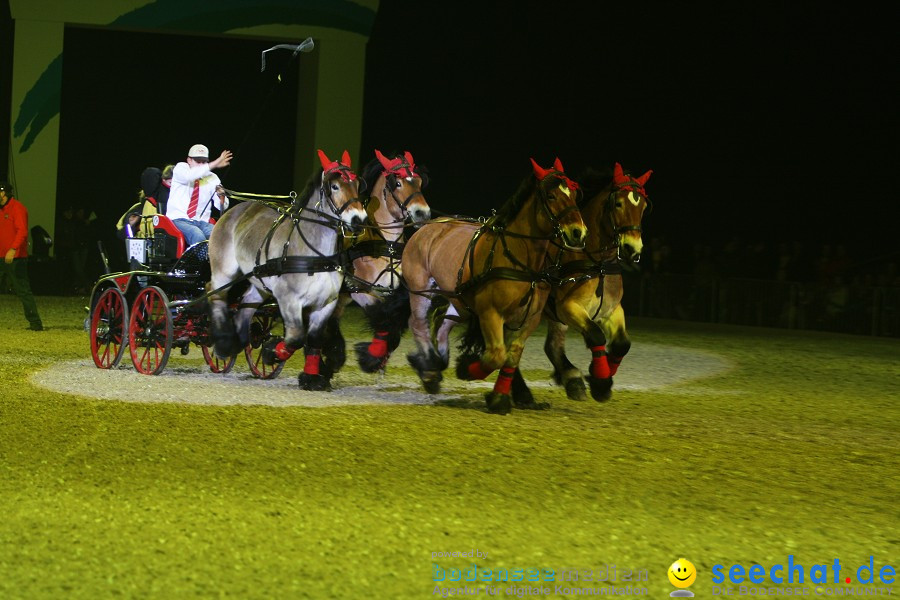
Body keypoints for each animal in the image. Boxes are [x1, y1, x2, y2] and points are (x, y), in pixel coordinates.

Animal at [207, 151, 366, 390]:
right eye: (335, 186)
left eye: (356, 184)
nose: (359, 219)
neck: (314, 255)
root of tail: (234, 209)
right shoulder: (288, 298)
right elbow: (296, 337)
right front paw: (271, 353)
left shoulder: (326, 302)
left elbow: (314, 339)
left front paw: (311, 378)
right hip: (224, 271)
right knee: (215, 294)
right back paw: (224, 344)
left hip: (259, 280)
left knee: (246, 304)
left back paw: (239, 340)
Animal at [326, 149, 432, 372]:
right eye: (398, 183)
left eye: (419, 182)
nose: (422, 213)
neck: (385, 244)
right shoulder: (362, 291)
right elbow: (384, 321)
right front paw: (371, 358)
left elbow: (392, 325)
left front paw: (376, 356)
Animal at [402, 157, 588, 414]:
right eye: (551, 196)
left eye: (575, 195)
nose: (578, 233)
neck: (518, 259)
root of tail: (429, 226)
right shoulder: (490, 313)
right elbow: (496, 355)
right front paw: (466, 368)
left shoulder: (528, 319)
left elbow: (510, 357)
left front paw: (500, 398)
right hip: (421, 290)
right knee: (418, 323)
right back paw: (430, 372)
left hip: (460, 300)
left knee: (442, 320)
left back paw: (438, 361)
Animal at [536, 162, 652, 400]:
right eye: (618, 204)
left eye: (643, 207)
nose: (632, 248)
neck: (597, 264)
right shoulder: (568, 308)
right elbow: (596, 336)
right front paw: (600, 381)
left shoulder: (611, 310)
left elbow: (622, 344)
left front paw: (600, 377)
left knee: (552, 345)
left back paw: (571, 378)